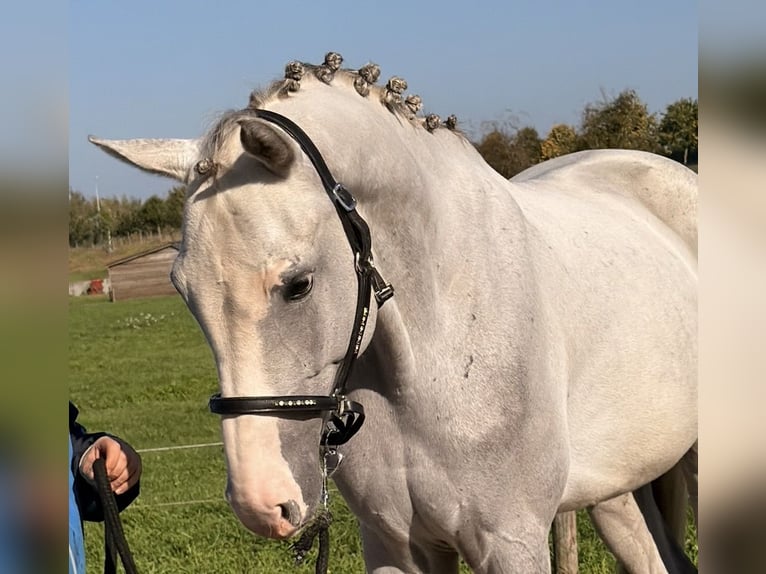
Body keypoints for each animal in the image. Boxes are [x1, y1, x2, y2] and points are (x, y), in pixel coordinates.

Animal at [90, 53, 698, 573]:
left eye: (298, 285)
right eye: (183, 291)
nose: (261, 502)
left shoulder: (512, 542)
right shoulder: (395, 545)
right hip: (620, 493)